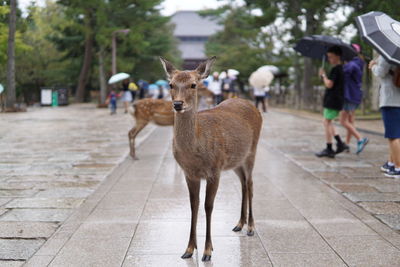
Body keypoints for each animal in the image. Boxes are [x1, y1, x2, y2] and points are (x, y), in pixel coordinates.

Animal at [159, 55, 262, 262]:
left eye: (193, 84)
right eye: (171, 84)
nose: (178, 104)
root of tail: (253, 107)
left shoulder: (214, 170)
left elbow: (208, 206)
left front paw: (207, 251)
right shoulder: (189, 173)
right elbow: (194, 205)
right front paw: (189, 249)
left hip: (252, 152)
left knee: (251, 184)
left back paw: (251, 227)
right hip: (235, 161)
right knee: (243, 184)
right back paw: (239, 223)